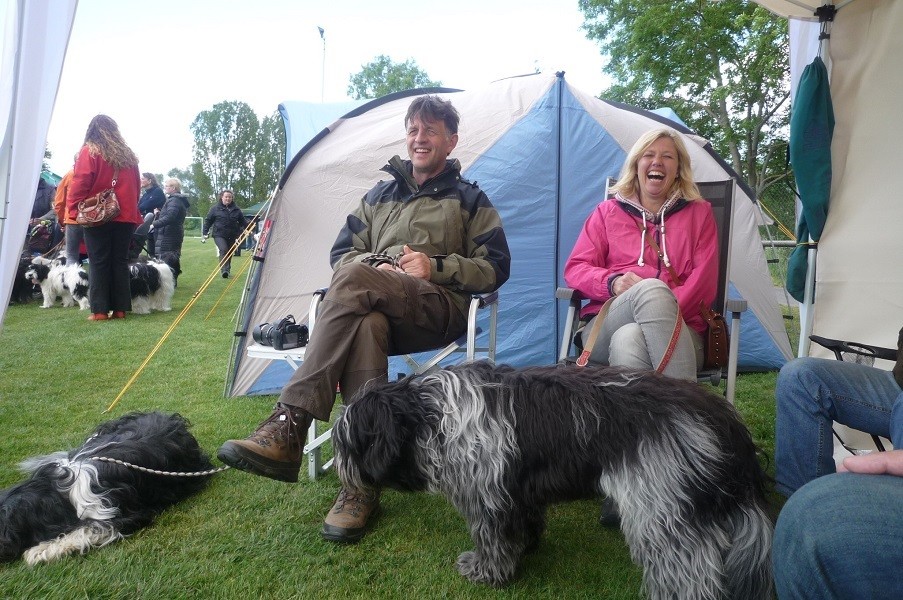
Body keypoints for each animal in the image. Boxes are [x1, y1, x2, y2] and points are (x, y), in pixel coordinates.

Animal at [336, 360, 772, 600]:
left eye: (345, 442)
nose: (341, 470)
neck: (430, 416)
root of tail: (721, 415)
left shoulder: (487, 495)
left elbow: (491, 538)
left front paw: (484, 571)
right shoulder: (514, 489)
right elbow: (522, 523)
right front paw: (525, 549)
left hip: (661, 508)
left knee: (692, 572)